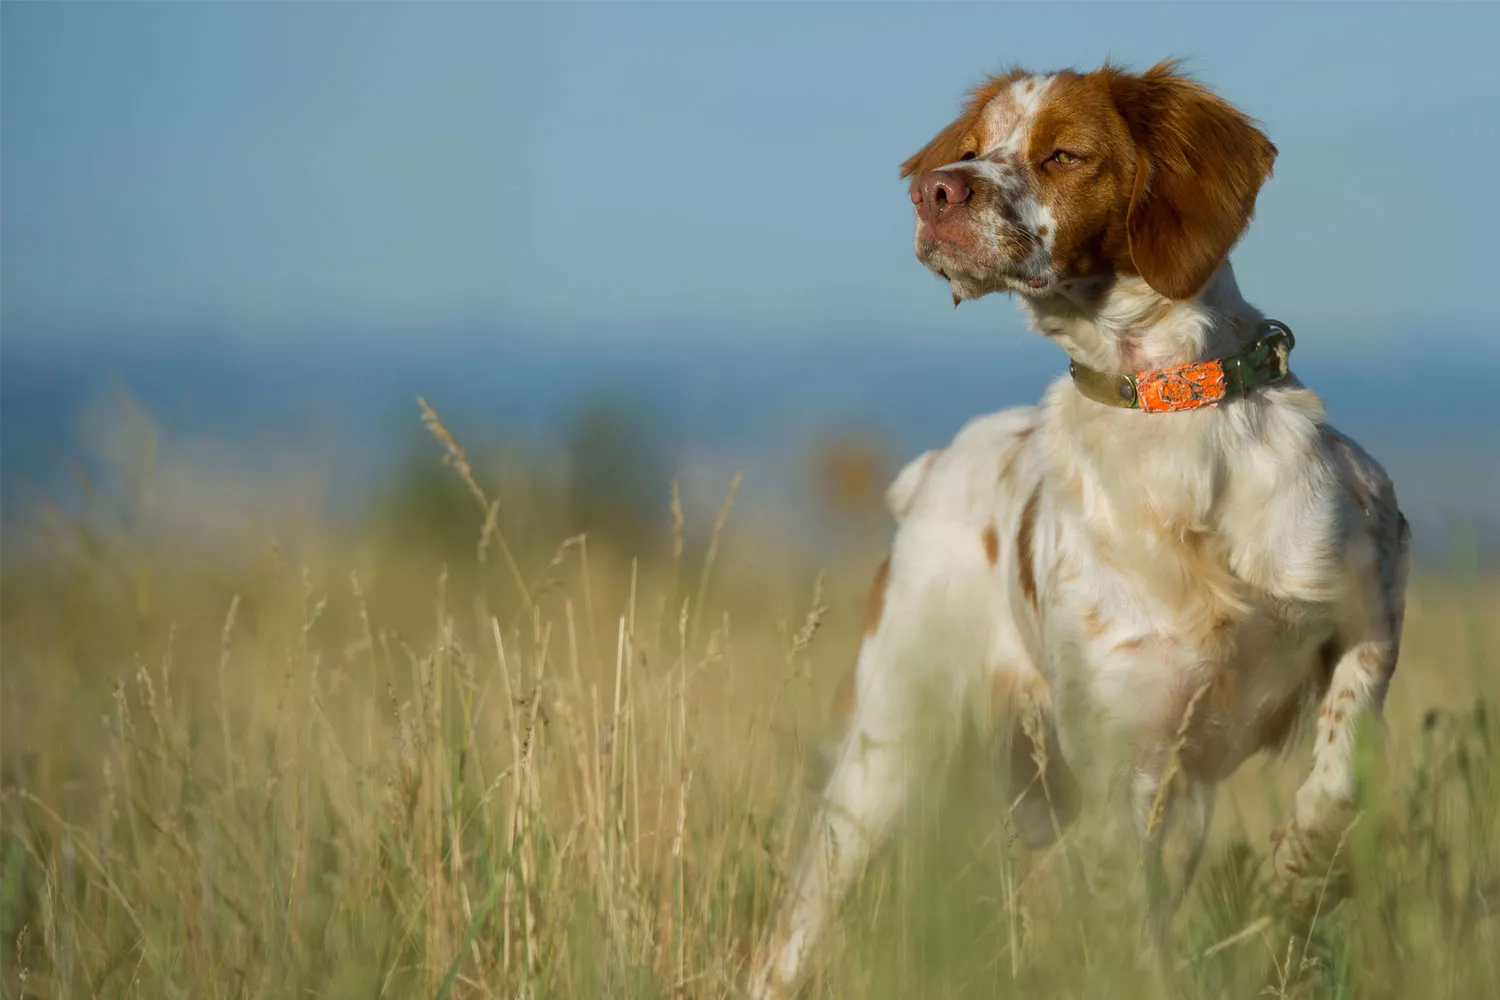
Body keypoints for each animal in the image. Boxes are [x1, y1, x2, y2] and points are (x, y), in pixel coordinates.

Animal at [750, 62, 1404, 1000]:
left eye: (1064, 153)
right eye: (974, 147)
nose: (933, 190)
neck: (1170, 413)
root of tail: (932, 467)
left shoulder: (1371, 590)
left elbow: (1340, 772)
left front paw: (1296, 877)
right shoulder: (1120, 762)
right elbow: (1131, 935)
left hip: (1178, 804)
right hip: (884, 754)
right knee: (797, 924)